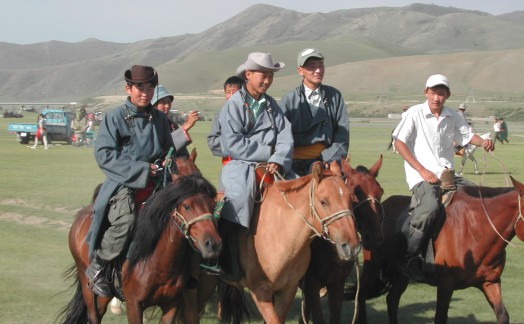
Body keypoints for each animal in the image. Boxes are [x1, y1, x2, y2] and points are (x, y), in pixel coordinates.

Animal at [358, 177, 524, 324]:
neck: (475, 229)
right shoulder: (445, 284)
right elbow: (440, 317)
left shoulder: (490, 282)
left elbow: (502, 315)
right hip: (373, 265)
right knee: (361, 295)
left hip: (400, 274)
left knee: (392, 300)